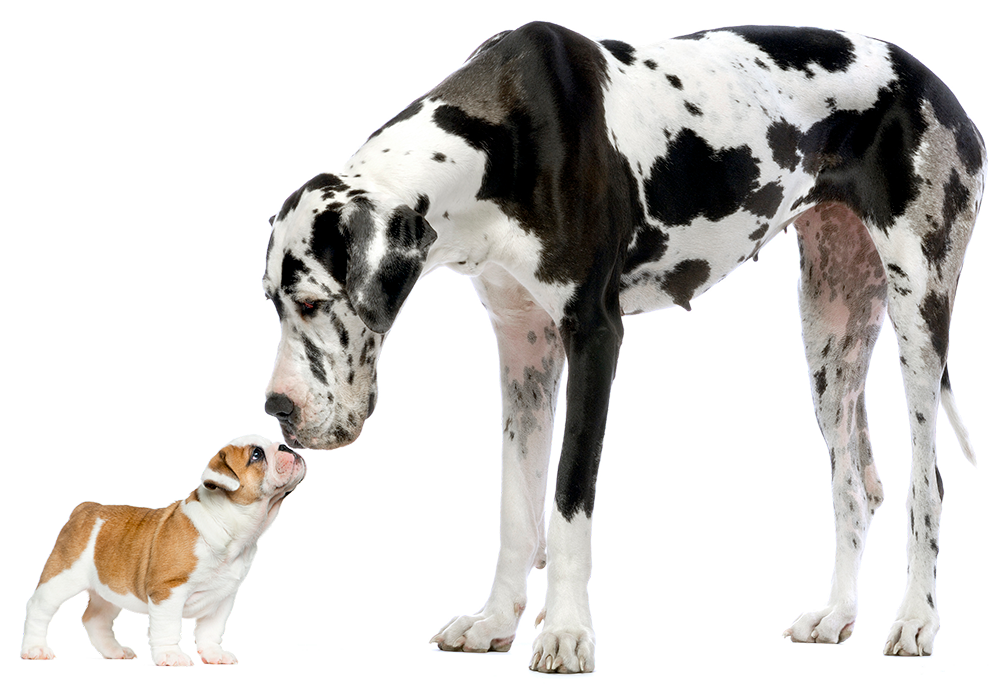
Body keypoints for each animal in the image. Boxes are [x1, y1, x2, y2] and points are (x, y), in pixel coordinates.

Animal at [21, 438, 304, 668]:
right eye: (256, 454)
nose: (287, 446)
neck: (229, 525)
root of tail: (85, 509)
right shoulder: (169, 590)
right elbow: (167, 628)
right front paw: (170, 657)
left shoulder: (223, 596)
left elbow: (211, 630)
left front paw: (214, 655)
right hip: (62, 577)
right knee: (38, 609)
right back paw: (35, 649)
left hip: (110, 588)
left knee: (95, 619)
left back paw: (114, 652)